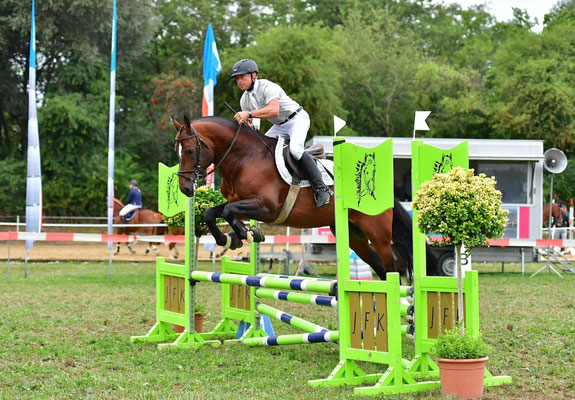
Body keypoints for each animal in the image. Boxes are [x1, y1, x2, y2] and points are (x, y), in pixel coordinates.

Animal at [173, 114, 438, 280]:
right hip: (354, 235)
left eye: (190, 150)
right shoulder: (237, 201)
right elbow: (212, 213)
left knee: (394, 268)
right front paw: (228, 239)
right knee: (380, 268)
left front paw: (248, 234)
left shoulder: (267, 207)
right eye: (177, 151)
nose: (185, 189)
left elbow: (229, 213)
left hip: (378, 234)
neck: (244, 157)